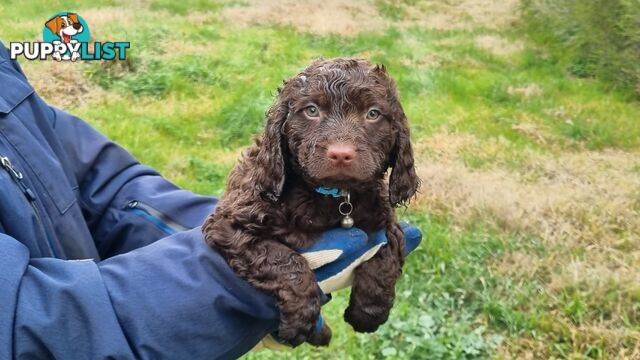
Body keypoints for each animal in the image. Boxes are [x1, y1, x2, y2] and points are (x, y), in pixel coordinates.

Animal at [204, 57, 420, 348]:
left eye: (373, 114)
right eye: (312, 110)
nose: (341, 154)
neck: (333, 197)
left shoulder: (385, 222)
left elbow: (384, 259)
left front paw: (367, 313)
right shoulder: (228, 223)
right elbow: (286, 261)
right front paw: (300, 319)